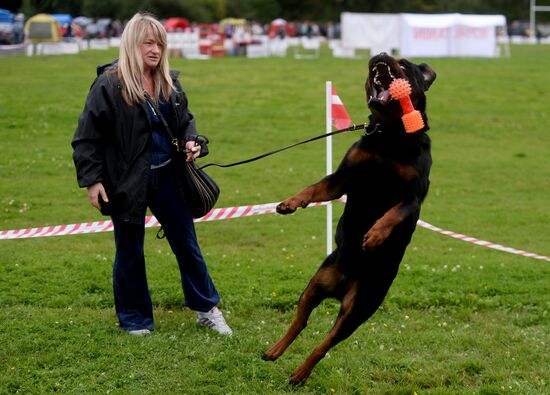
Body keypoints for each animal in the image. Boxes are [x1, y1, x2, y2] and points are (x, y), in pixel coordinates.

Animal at [264, 54, 440, 386]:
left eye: (404, 64)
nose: (380, 55)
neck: (390, 135)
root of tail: (342, 285)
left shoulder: (413, 198)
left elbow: (393, 214)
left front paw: (374, 235)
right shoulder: (343, 178)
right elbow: (314, 188)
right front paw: (290, 203)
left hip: (359, 308)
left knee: (324, 344)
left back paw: (300, 374)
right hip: (316, 284)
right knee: (300, 321)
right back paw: (274, 351)